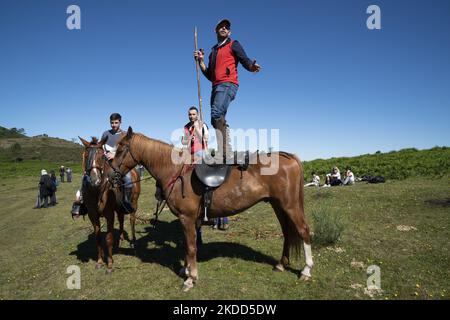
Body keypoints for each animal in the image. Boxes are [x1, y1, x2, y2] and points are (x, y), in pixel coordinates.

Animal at [78, 136, 140, 274]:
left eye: (102, 156)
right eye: (85, 155)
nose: (94, 181)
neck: (97, 191)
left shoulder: (109, 215)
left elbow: (108, 238)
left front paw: (110, 265)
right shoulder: (93, 216)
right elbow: (98, 238)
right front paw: (100, 262)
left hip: (133, 203)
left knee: (132, 220)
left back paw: (133, 242)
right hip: (119, 208)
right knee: (121, 219)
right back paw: (121, 239)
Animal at [110, 127, 312, 290]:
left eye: (121, 148)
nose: (111, 175)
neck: (176, 171)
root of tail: (289, 157)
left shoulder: (187, 218)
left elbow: (191, 247)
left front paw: (191, 279)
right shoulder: (192, 220)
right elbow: (188, 245)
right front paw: (186, 269)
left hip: (290, 206)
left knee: (304, 231)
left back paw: (306, 270)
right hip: (278, 205)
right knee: (287, 233)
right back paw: (281, 264)